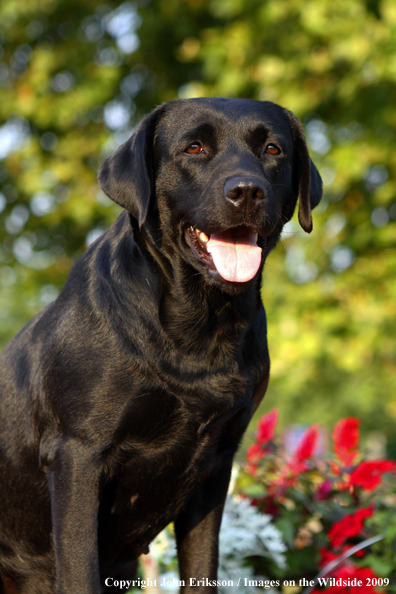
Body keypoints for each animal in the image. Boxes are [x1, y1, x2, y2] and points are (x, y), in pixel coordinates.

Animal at [0, 98, 322, 592]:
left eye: (272, 149)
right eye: (194, 147)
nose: (247, 191)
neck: (201, 324)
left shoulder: (216, 466)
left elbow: (202, 568)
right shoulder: (76, 456)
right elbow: (79, 569)